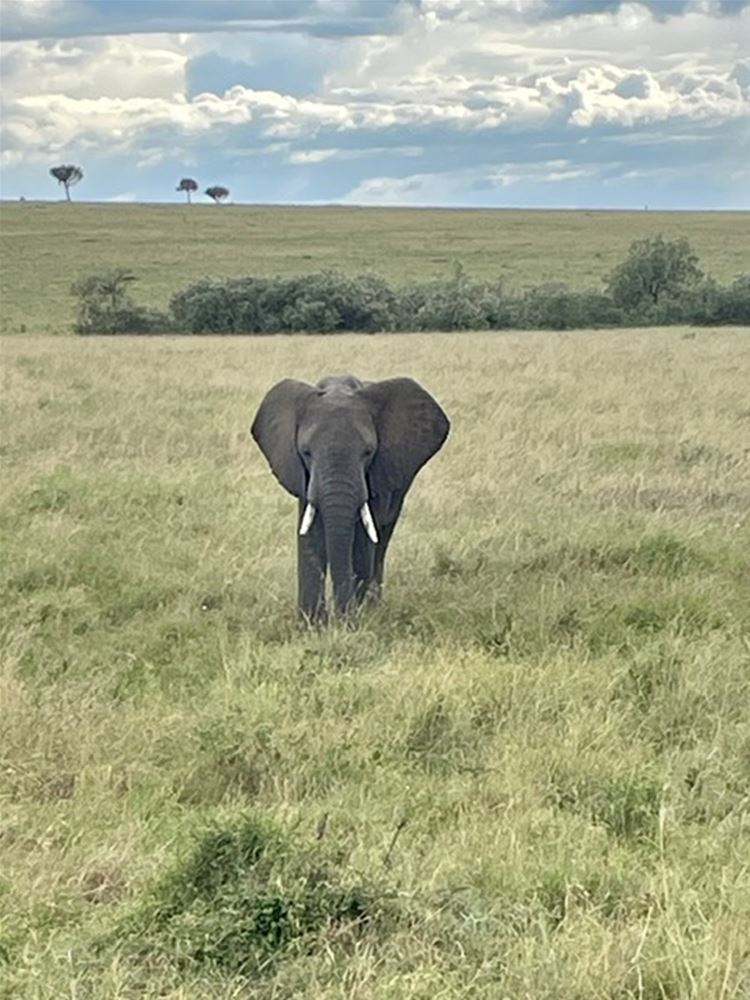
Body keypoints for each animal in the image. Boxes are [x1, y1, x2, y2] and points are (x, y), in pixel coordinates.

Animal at [251, 374, 450, 622]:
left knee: (381, 539)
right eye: (306, 452)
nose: (343, 618)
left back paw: (374, 608)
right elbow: (310, 536)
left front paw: (354, 620)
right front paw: (312, 625)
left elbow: (363, 542)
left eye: (368, 452)